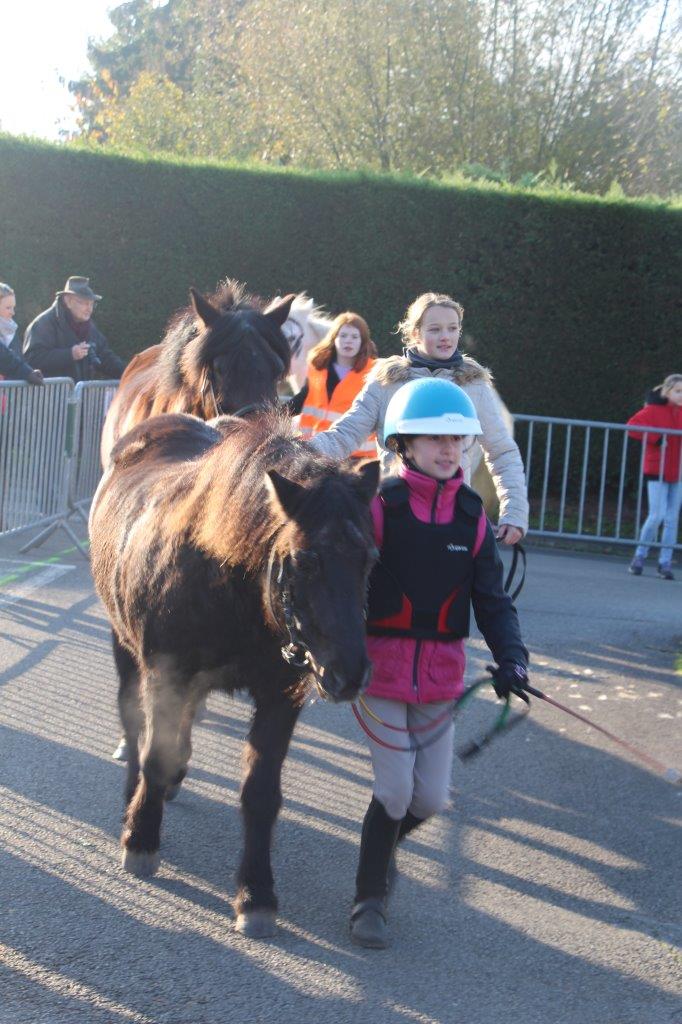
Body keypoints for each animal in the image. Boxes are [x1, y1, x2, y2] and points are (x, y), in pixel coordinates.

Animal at [88, 405, 378, 937]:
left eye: (368, 558)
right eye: (305, 560)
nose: (350, 673)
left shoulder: (280, 696)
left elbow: (261, 794)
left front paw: (256, 894)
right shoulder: (165, 674)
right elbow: (154, 752)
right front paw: (140, 839)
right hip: (125, 650)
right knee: (135, 725)